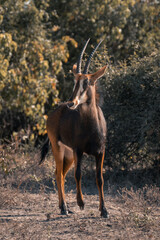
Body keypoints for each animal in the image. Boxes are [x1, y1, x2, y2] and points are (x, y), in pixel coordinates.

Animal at [39, 39, 108, 218]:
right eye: (75, 80)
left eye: (87, 81)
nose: (71, 103)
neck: (91, 127)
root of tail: (54, 112)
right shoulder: (79, 150)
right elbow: (78, 175)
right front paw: (81, 203)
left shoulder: (100, 152)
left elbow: (100, 178)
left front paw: (104, 210)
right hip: (58, 148)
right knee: (58, 174)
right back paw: (64, 208)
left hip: (68, 154)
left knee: (61, 174)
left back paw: (64, 207)